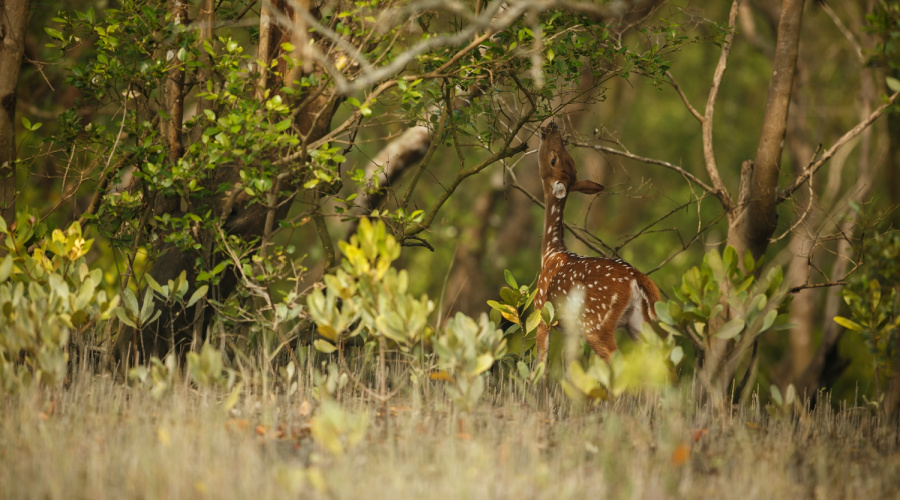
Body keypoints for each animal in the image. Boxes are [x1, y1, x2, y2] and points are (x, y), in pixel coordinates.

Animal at [536, 122, 660, 364]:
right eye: (567, 158)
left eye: (553, 159)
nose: (552, 126)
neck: (550, 253)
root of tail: (636, 277)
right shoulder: (570, 329)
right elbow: (571, 367)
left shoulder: (541, 312)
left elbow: (539, 365)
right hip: (638, 322)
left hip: (596, 323)